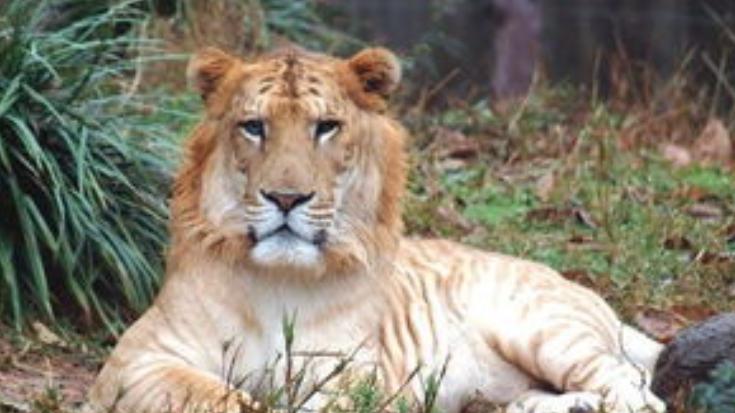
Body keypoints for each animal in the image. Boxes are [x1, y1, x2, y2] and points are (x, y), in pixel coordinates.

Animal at [85, 46, 668, 413]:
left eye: (326, 127)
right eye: (253, 127)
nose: (286, 198)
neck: (278, 281)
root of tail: (580, 289)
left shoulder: (352, 379)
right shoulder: (138, 363)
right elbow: (218, 398)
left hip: (545, 327)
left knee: (635, 387)